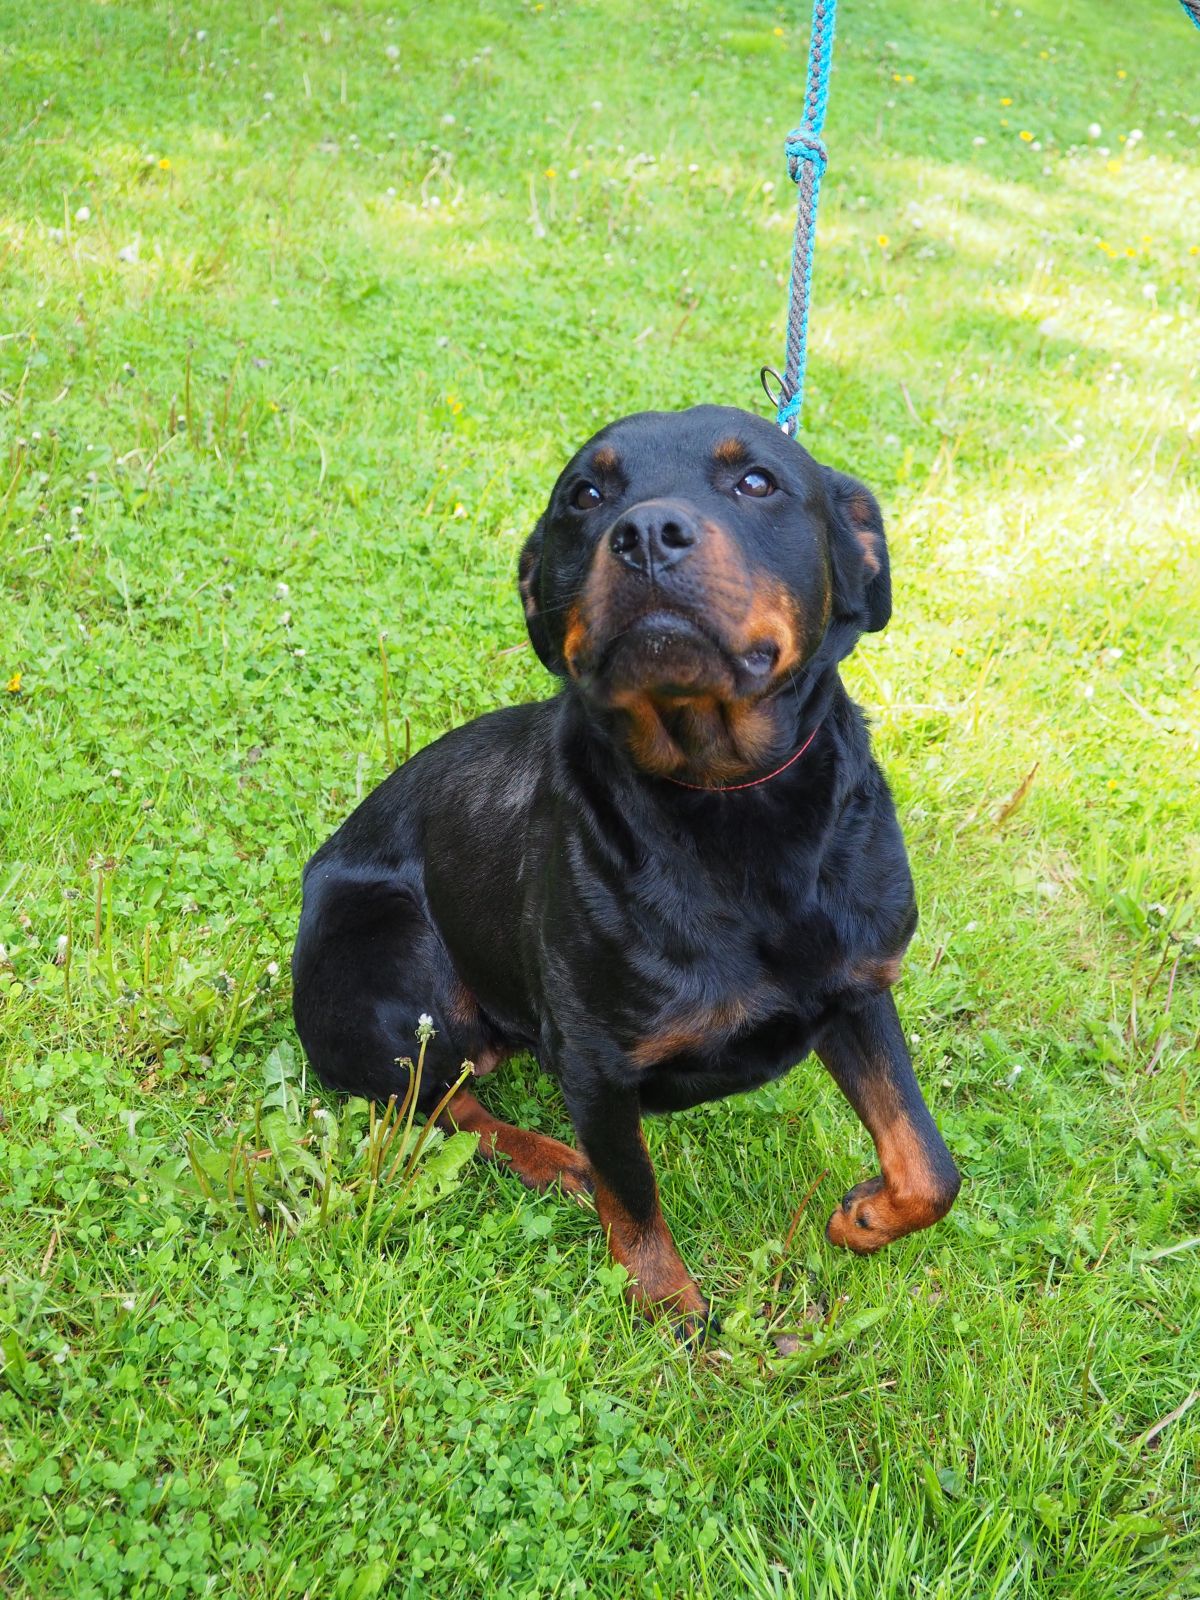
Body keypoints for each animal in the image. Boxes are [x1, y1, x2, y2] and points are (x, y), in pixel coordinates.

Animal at [292, 404, 961, 1335]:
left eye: (758, 480)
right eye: (584, 495)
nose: (645, 534)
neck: (728, 809)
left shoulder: (856, 986)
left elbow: (929, 1162)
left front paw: (863, 1219)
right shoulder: (597, 1063)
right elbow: (634, 1198)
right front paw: (669, 1309)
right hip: (395, 957)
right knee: (437, 1104)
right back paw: (549, 1156)